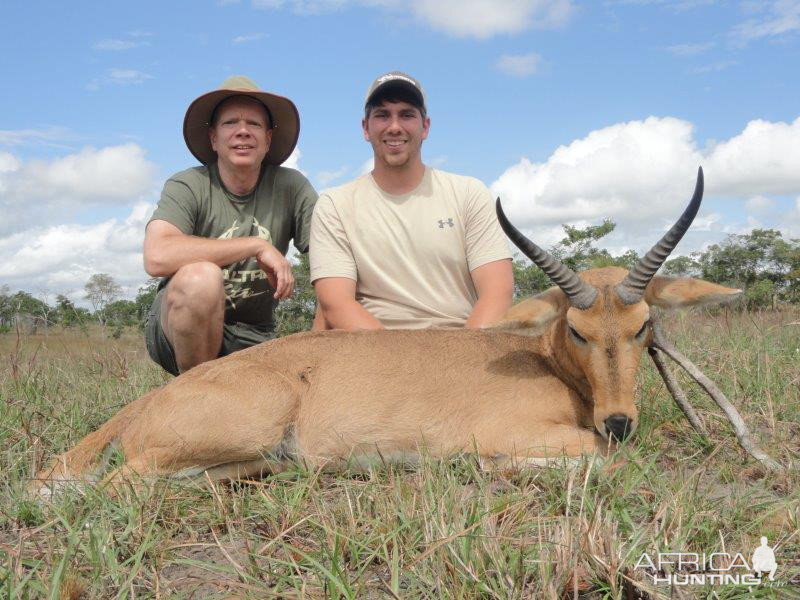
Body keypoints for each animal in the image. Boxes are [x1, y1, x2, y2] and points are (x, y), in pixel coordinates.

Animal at [32, 166, 744, 494]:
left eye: (644, 324)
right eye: (577, 330)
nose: (620, 420)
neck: (536, 363)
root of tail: (149, 402)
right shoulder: (519, 431)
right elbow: (589, 456)